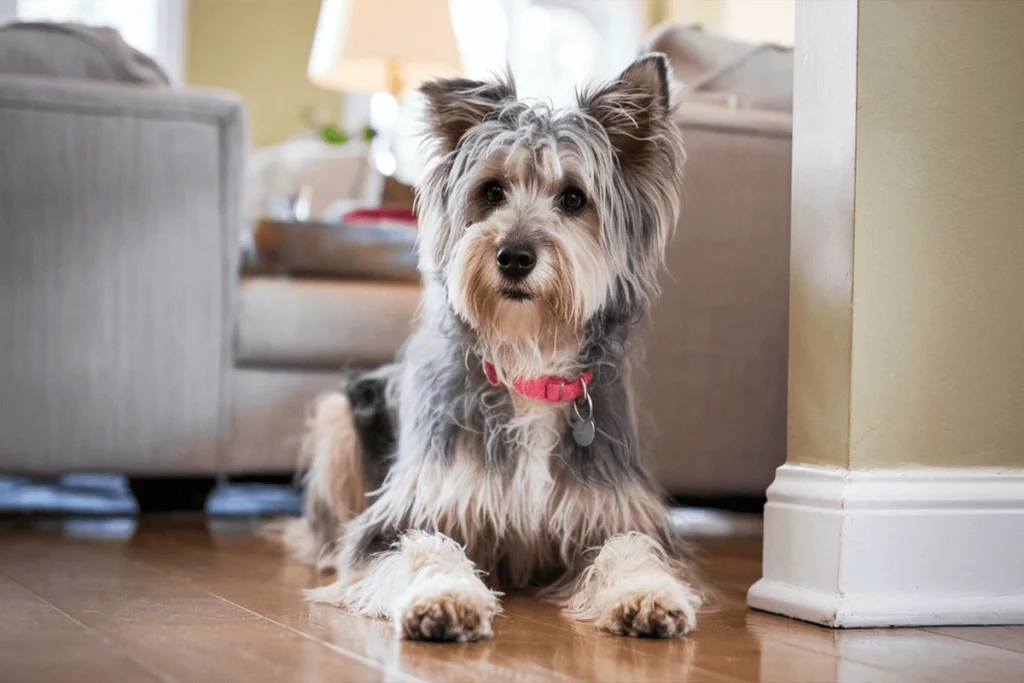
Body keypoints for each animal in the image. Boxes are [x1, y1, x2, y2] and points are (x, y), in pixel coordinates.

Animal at [274, 53, 704, 643]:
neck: (528, 363)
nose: (514, 256)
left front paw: (647, 593)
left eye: (574, 198)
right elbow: (423, 548)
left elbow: (631, 549)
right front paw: (443, 597)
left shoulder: (614, 511)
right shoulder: (404, 513)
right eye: (493, 191)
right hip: (340, 416)